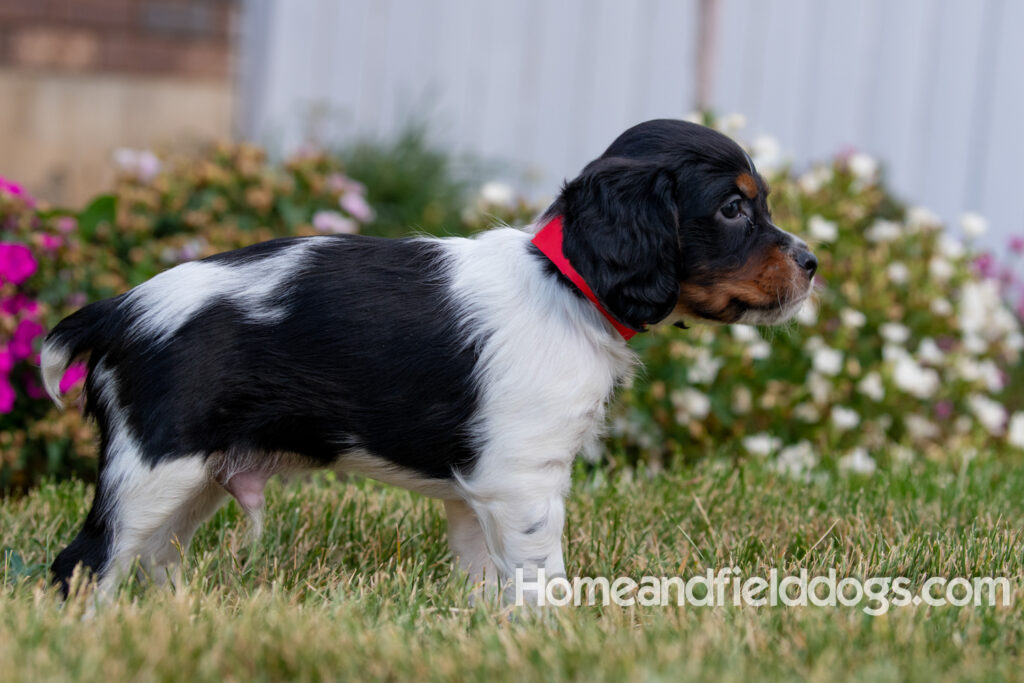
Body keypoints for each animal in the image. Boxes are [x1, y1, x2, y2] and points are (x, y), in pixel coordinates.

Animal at [44, 118, 819, 602]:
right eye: (733, 209)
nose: (814, 262)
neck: (564, 283)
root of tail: (119, 307)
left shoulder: (479, 492)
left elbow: (487, 579)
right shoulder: (522, 480)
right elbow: (540, 576)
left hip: (194, 479)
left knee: (152, 559)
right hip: (153, 467)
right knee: (84, 562)